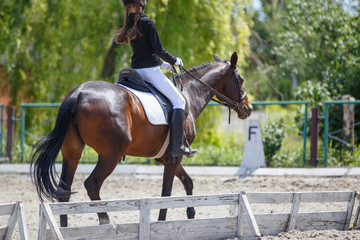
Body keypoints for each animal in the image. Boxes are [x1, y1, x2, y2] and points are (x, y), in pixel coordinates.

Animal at [31, 51, 252, 226]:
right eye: (240, 79)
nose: (248, 109)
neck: (189, 94)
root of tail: (79, 92)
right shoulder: (175, 156)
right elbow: (166, 192)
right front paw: (162, 223)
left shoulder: (165, 157)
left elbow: (187, 181)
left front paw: (191, 213)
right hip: (110, 155)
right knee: (92, 184)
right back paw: (105, 220)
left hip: (72, 152)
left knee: (64, 190)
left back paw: (65, 227)